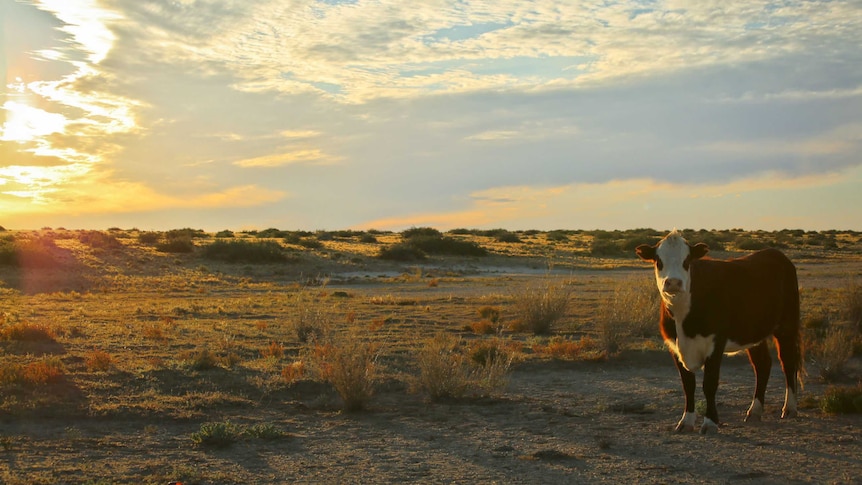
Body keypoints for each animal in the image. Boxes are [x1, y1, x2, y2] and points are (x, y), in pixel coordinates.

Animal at [636, 229, 804, 432]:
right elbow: (688, 385)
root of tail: (776, 253)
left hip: (787, 326)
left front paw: (710, 422)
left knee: (788, 362)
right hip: (753, 332)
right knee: (763, 364)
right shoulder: (674, 346)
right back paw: (755, 411)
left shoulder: (715, 343)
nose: (674, 282)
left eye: (687, 260)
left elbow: (709, 383)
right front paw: (686, 421)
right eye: (658, 261)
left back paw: (790, 408)